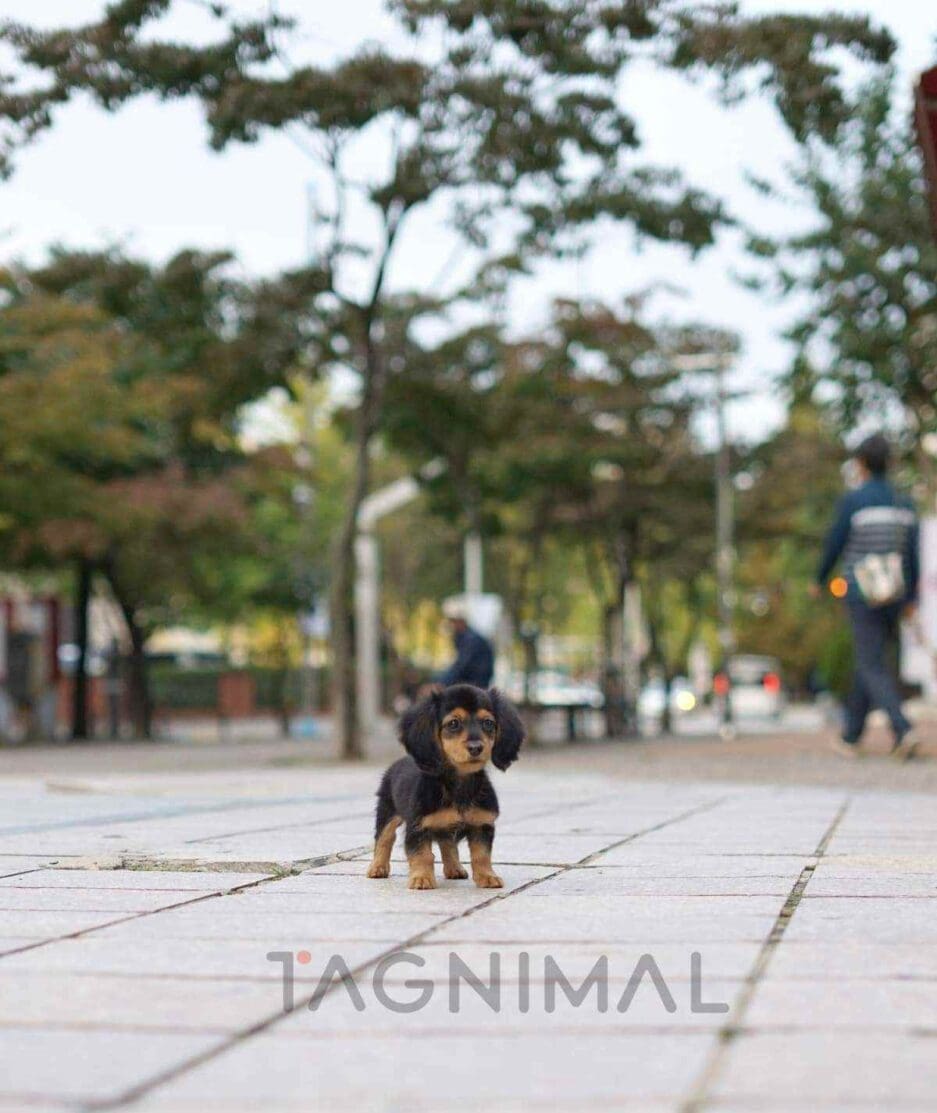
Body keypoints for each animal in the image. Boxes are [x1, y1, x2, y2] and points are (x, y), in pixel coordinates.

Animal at [367, 681, 525, 890]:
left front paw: (487, 876)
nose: (476, 747)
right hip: (387, 812)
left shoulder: (482, 825)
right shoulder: (418, 827)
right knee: (384, 839)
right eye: (453, 723)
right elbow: (422, 855)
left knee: (447, 845)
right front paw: (421, 878)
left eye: (488, 723)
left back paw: (454, 868)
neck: (459, 785)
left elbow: (481, 855)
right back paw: (377, 867)